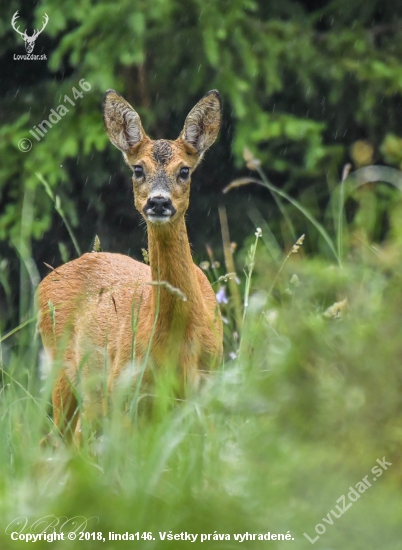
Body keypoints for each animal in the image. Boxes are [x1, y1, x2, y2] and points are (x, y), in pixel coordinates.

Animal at [37, 90, 223, 444]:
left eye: (184, 170)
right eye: (138, 169)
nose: (159, 202)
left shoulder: (207, 385)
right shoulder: (126, 390)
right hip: (65, 372)